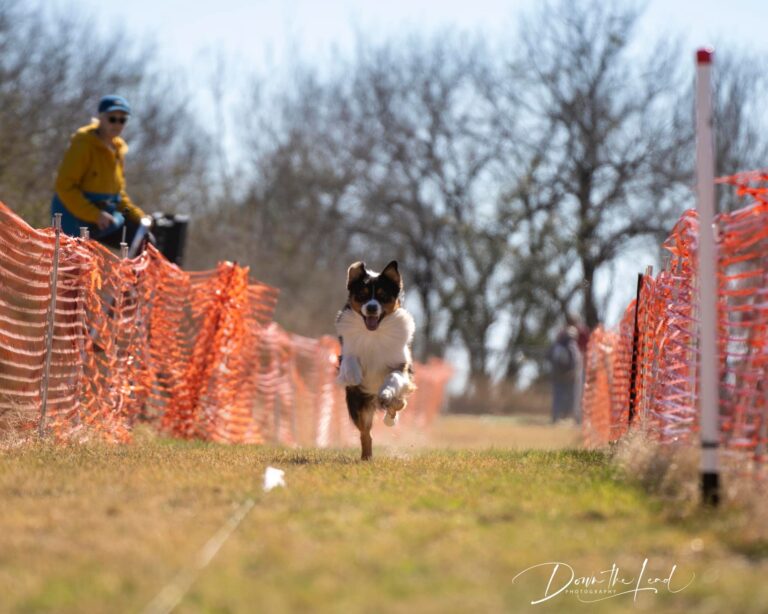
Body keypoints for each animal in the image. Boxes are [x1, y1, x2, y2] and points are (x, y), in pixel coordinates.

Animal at [336, 262, 416, 462]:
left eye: (383, 296)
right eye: (362, 294)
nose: (372, 308)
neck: (374, 334)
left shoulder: (401, 366)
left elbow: (393, 378)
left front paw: (386, 392)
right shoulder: (346, 353)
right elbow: (350, 361)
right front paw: (354, 376)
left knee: (398, 405)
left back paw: (389, 414)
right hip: (358, 405)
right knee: (365, 433)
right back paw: (366, 457)